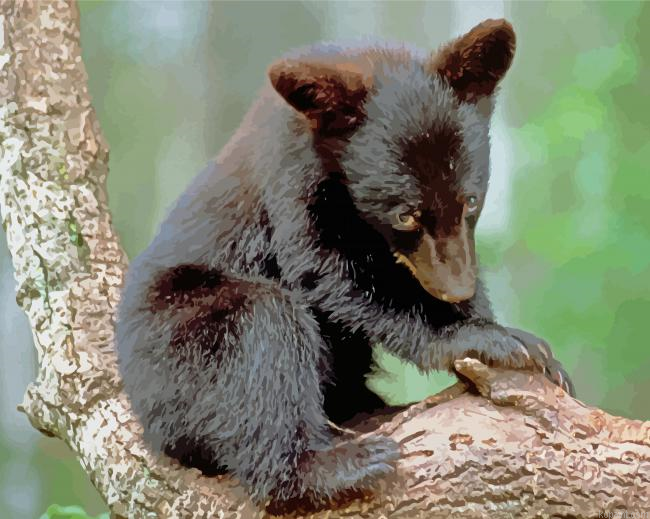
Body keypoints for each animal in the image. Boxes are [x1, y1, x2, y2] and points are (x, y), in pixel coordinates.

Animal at [115, 18, 574, 510]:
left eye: (470, 200)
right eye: (406, 214)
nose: (456, 288)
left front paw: (526, 347)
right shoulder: (291, 180)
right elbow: (332, 272)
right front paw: (484, 338)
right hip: (171, 342)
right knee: (261, 321)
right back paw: (336, 466)